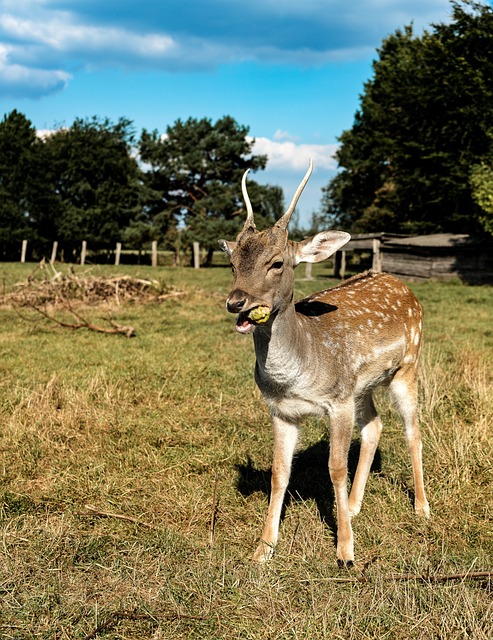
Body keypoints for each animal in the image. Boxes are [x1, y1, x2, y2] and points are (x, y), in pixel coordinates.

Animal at [217, 160, 428, 564]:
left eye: (277, 263)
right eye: (232, 262)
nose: (236, 302)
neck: (295, 376)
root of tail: (402, 283)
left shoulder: (337, 401)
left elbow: (335, 468)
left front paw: (345, 550)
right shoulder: (281, 410)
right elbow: (279, 473)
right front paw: (263, 548)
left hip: (407, 366)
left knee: (412, 430)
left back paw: (422, 507)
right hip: (361, 386)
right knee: (375, 425)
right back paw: (357, 505)